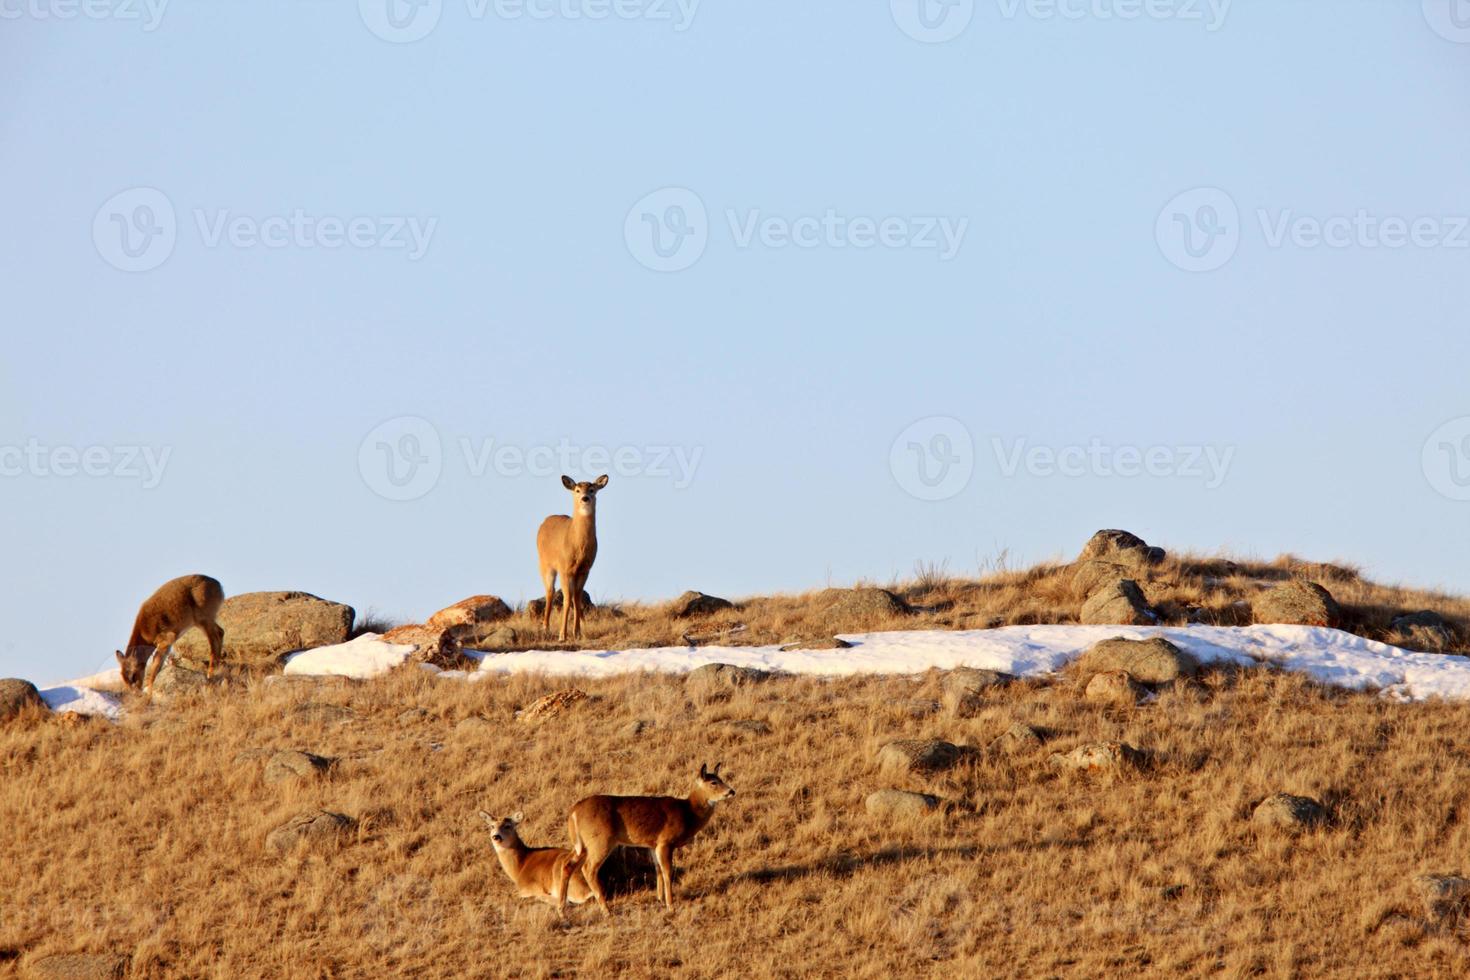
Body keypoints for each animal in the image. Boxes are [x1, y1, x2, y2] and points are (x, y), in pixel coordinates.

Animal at [538, 476, 605, 643]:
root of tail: (545, 521)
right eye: (577, 490)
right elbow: (567, 599)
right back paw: (545, 628)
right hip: (545, 564)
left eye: (592, 489)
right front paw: (563, 635)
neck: (578, 546)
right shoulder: (564, 568)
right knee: (550, 591)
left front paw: (578, 633)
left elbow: (577, 598)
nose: (585, 498)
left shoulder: (585, 570)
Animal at [552, 764, 732, 916]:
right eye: (714, 782)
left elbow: (657, 869)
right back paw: (606, 910)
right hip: (600, 840)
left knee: (567, 865)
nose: (731, 791)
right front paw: (671, 906)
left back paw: (561, 910)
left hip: (581, 844)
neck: (688, 813)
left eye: (721, 778)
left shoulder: (653, 844)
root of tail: (574, 811)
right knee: (588, 869)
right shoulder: (666, 841)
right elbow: (667, 871)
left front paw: (660, 899)